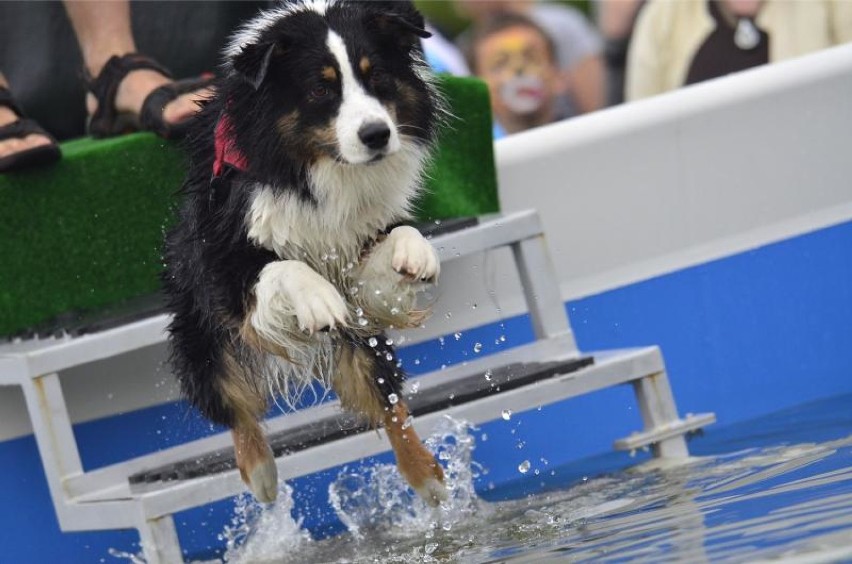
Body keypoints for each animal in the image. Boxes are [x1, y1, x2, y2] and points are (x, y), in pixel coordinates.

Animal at [164, 0, 450, 502]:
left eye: (377, 77)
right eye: (320, 88)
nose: (376, 134)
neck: (321, 167)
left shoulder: (360, 247)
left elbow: (397, 234)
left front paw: (416, 255)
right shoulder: (227, 264)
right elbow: (285, 267)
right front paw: (318, 300)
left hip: (367, 343)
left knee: (389, 400)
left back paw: (429, 479)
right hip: (201, 333)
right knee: (234, 405)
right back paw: (262, 477)